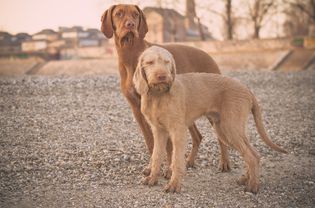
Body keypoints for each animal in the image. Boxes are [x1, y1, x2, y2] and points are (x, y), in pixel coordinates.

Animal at [101, 4, 225, 171]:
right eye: (119, 14)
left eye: (135, 15)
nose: (130, 24)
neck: (130, 54)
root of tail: (208, 55)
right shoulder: (137, 109)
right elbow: (151, 142)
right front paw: (152, 167)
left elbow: (167, 145)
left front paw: (168, 169)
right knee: (198, 136)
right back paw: (189, 162)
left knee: (222, 138)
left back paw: (224, 163)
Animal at [134, 46, 288, 194]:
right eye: (150, 62)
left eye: (167, 62)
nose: (162, 76)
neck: (158, 96)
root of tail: (247, 89)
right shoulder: (159, 131)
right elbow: (156, 155)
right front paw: (152, 178)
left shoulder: (178, 131)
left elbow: (177, 160)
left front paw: (174, 185)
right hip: (224, 129)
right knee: (254, 153)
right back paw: (246, 178)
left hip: (230, 129)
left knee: (251, 156)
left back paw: (253, 186)